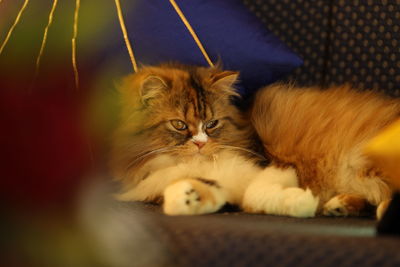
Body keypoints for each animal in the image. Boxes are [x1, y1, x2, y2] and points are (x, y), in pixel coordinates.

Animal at [110, 63, 400, 220]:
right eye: (179, 124)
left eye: (211, 124)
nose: (201, 144)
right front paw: (188, 198)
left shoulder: (271, 166)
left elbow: (254, 194)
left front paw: (302, 202)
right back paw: (338, 206)